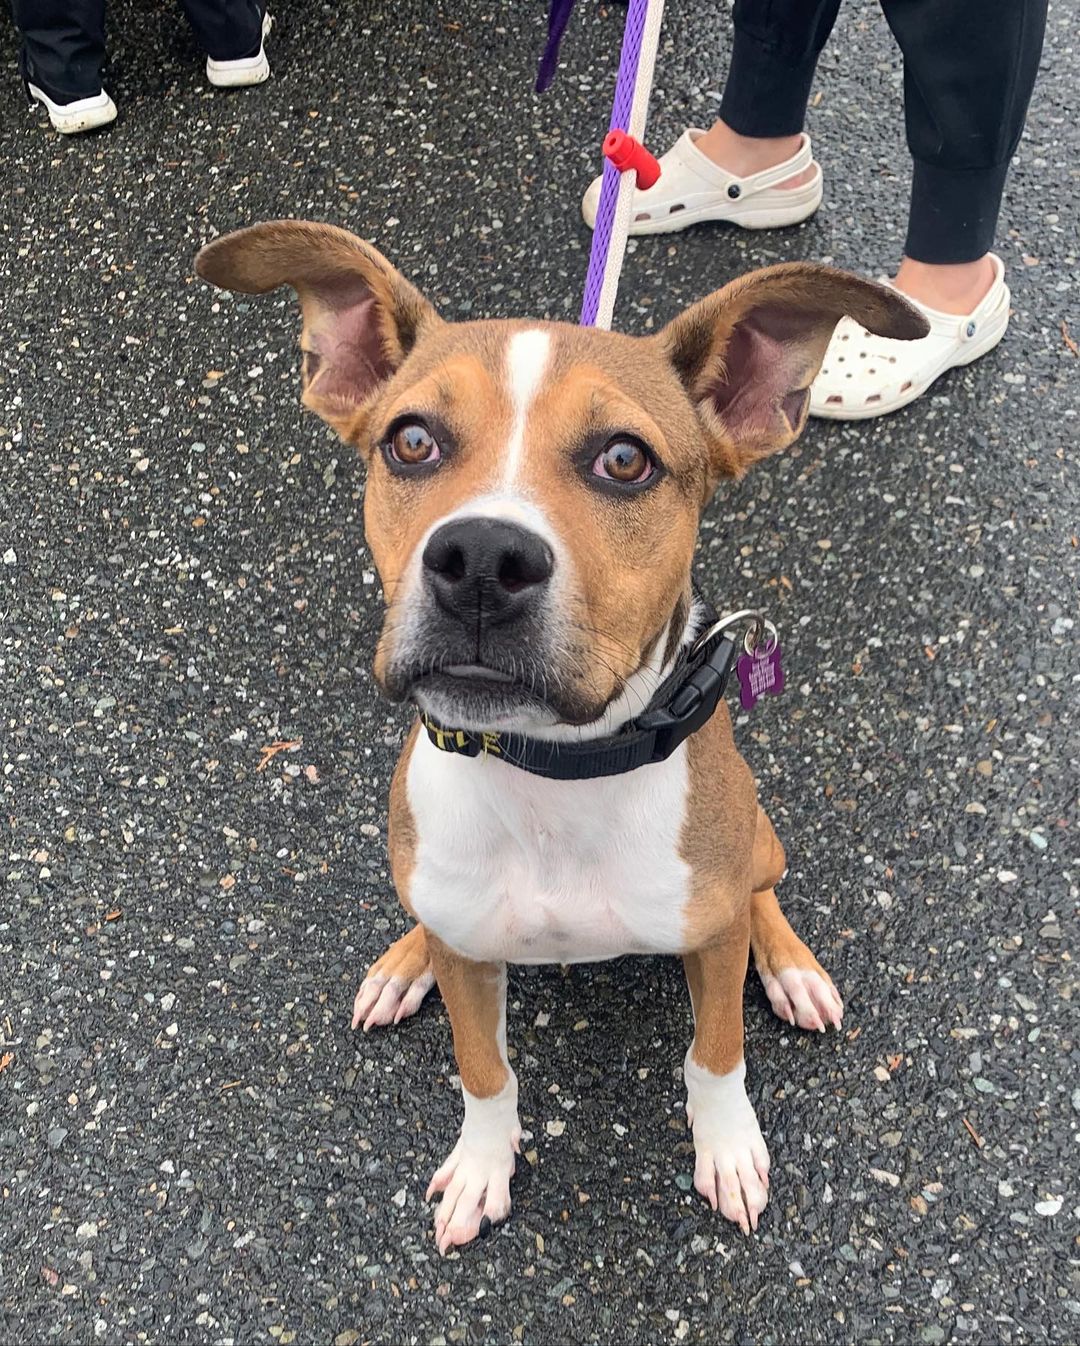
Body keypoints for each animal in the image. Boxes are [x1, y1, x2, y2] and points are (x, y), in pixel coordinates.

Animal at [197, 218, 921, 1249]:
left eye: (625, 459)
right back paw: (402, 963)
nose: (479, 561)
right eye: (410, 441)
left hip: (759, 835)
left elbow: (715, 1054)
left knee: (761, 893)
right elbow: (484, 1072)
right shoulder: (471, 961)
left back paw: (790, 968)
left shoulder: (710, 940)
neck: (554, 776)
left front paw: (729, 1148)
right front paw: (481, 1165)